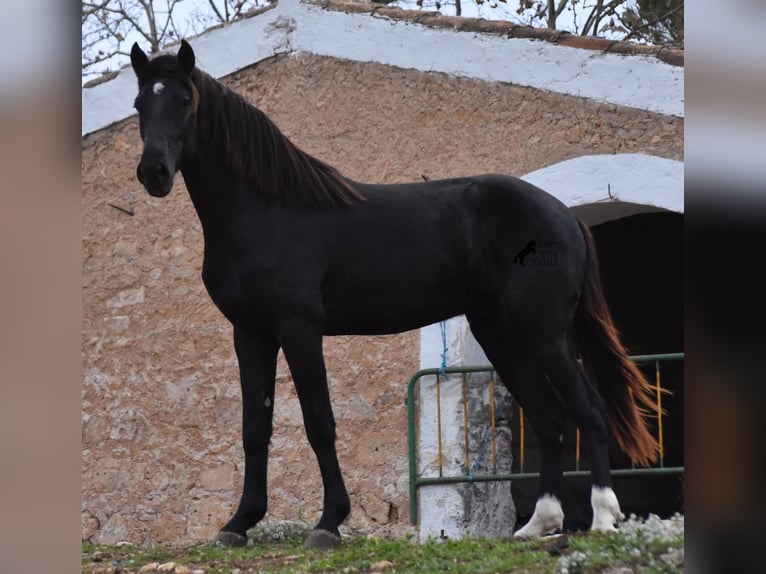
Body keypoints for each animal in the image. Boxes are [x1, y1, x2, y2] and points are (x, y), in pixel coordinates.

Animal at [129, 42, 656, 552]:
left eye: (184, 100)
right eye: (140, 103)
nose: (154, 172)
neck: (267, 211)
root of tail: (565, 215)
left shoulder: (299, 329)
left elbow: (319, 422)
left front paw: (329, 523)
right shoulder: (250, 332)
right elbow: (254, 429)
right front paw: (239, 524)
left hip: (545, 335)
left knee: (589, 410)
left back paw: (603, 518)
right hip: (504, 338)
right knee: (549, 418)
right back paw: (538, 525)